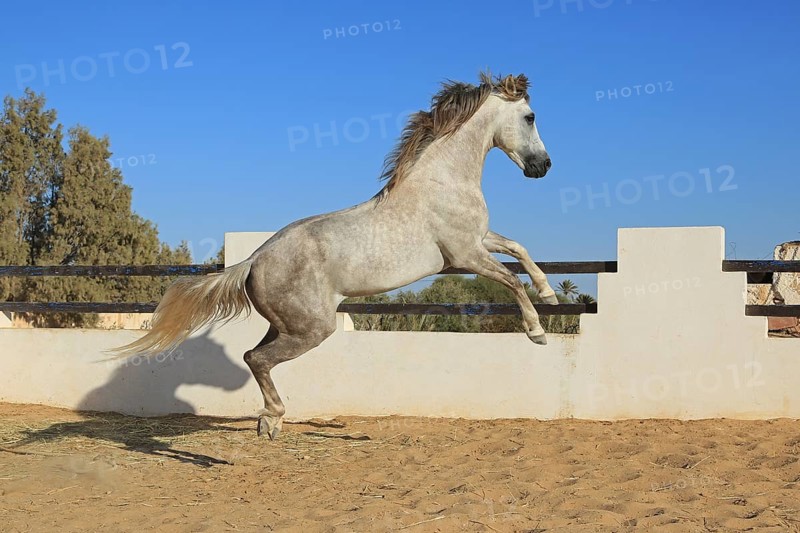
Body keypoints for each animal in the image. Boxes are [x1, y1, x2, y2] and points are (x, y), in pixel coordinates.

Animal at [116, 72, 557, 439]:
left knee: (254, 356)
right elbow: (511, 280)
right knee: (255, 358)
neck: (440, 182)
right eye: (531, 117)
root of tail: (254, 260)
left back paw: (269, 422)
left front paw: (550, 294)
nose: (544, 166)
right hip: (313, 329)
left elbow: (519, 249)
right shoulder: (465, 253)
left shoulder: (479, 241)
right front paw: (537, 331)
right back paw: (272, 418)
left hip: (288, 325)